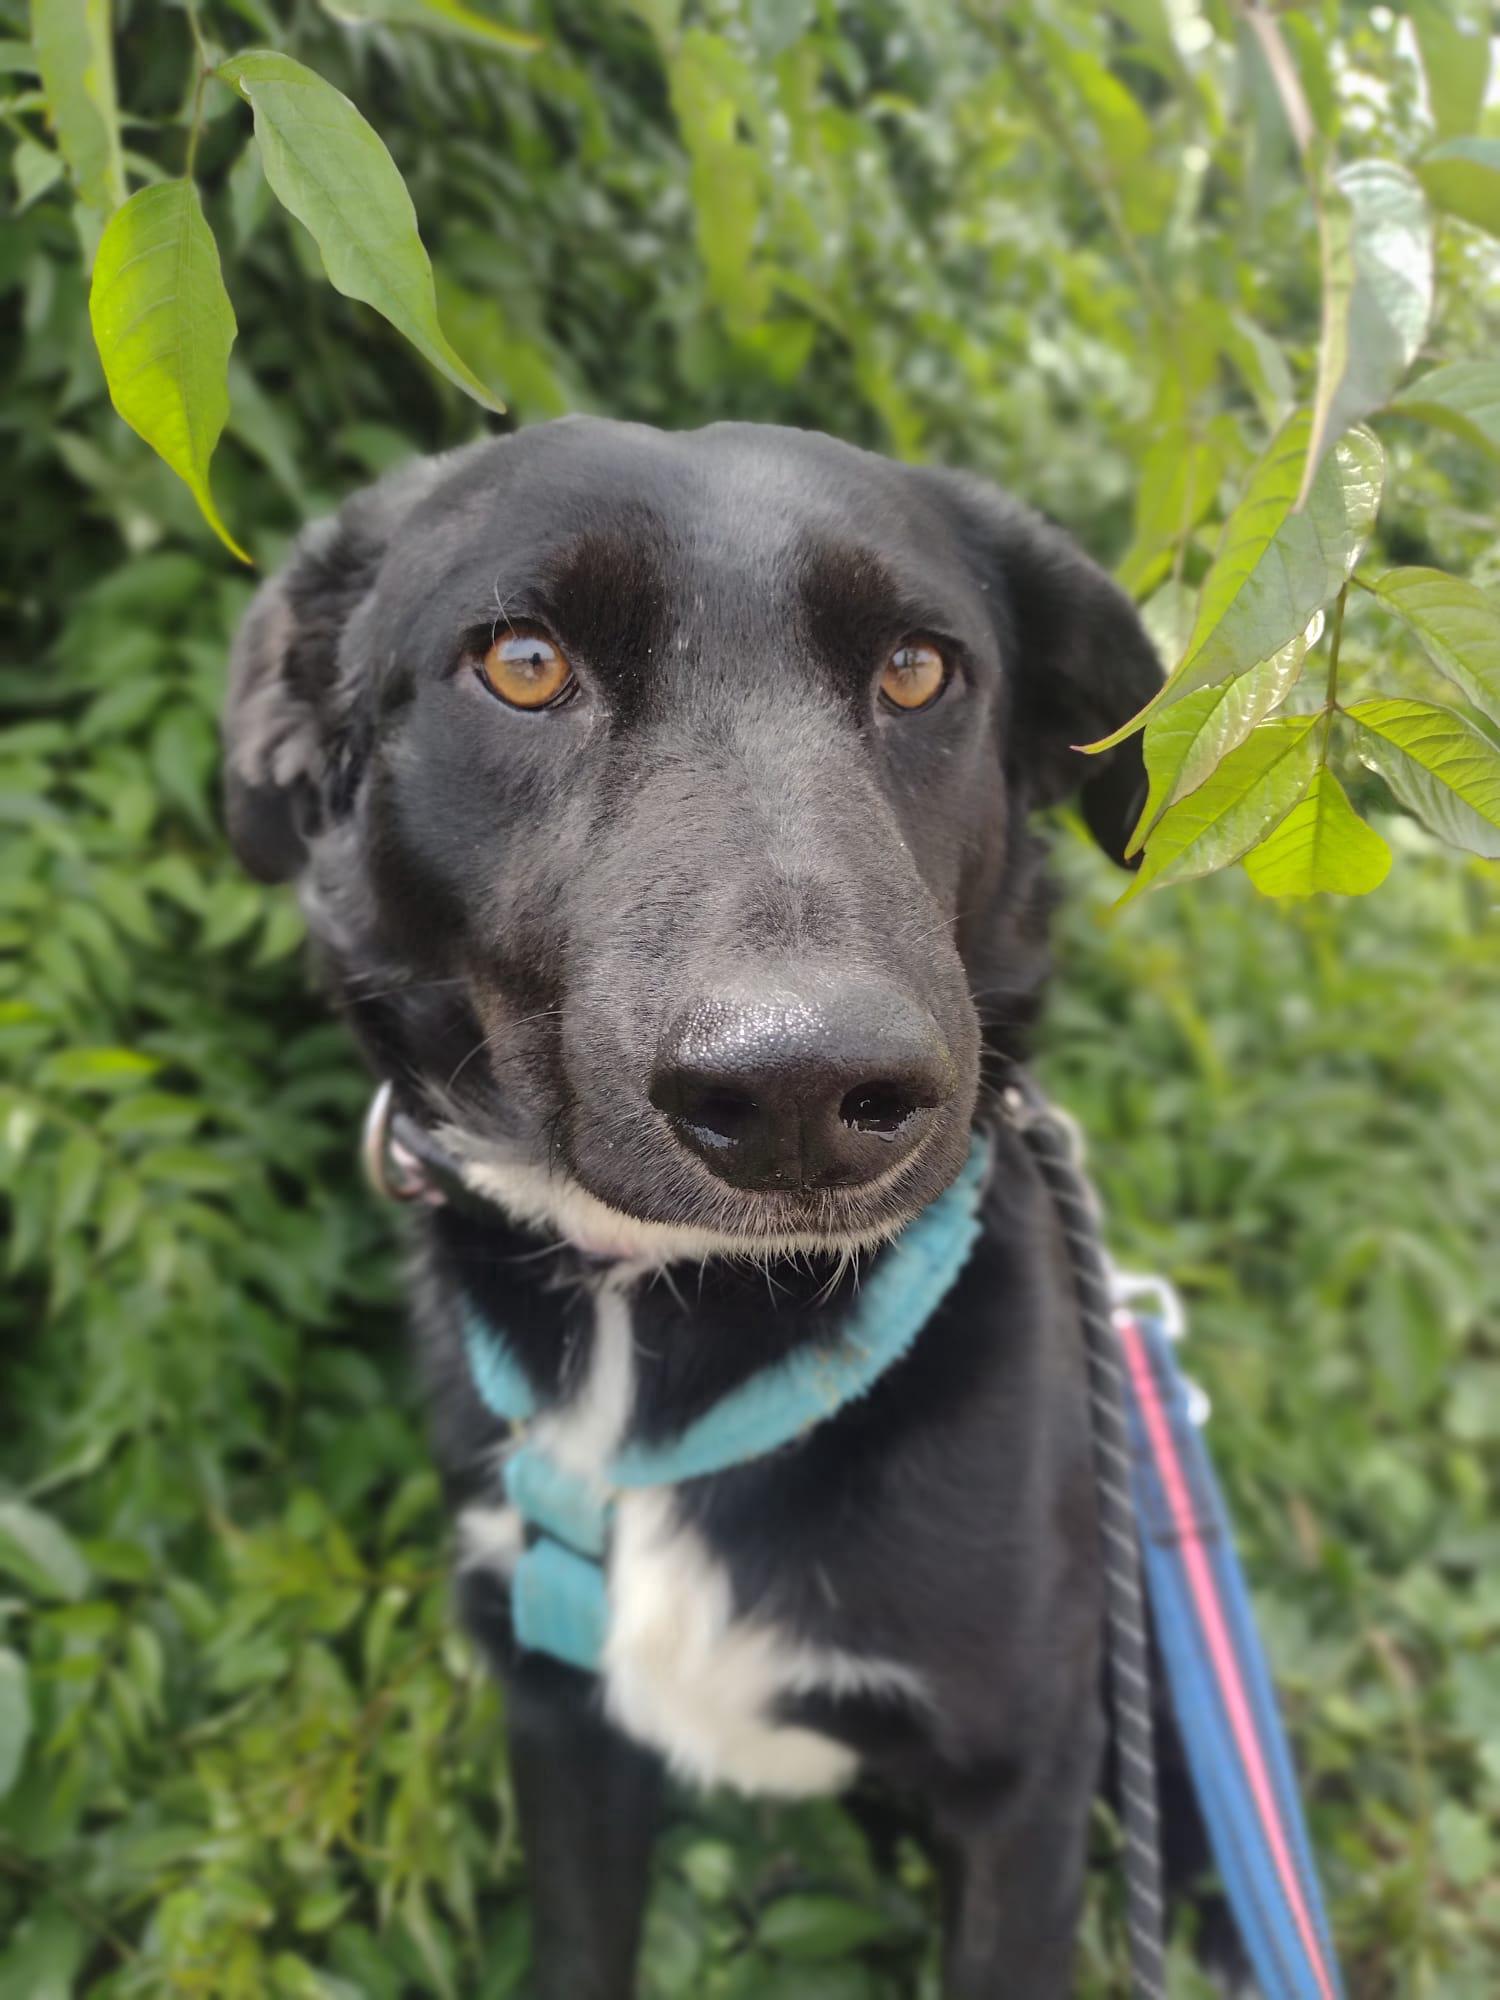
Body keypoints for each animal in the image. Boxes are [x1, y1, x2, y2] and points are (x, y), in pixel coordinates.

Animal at [222, 416, 1214, 1998]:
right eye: (522, 663)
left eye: (919, 670)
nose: (807, 1089)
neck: (671, 1323)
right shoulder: (561, 1716)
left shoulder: (1027, 1784)